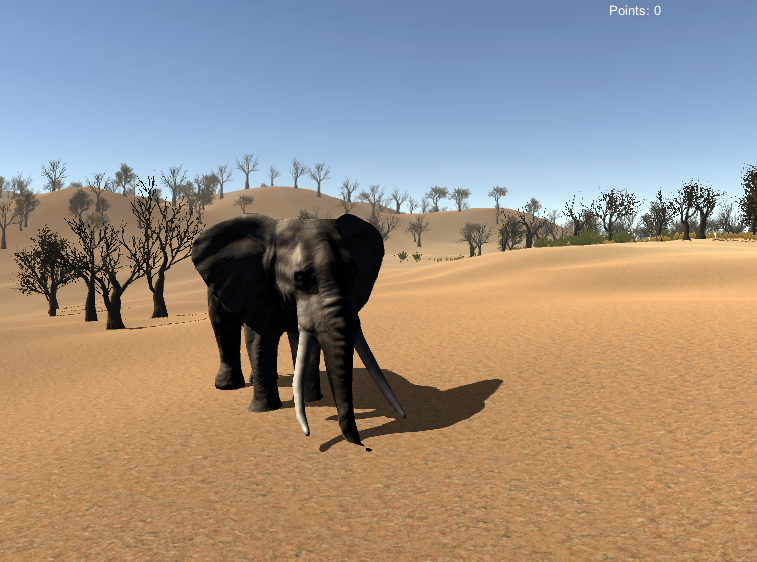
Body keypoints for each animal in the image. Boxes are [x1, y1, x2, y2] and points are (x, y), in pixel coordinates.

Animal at [191, 213, 406, 446]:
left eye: (353, 273)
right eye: (299, 278)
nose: (363, 445)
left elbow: (307, 345)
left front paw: (310, 400)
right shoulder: (256, 288)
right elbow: (260, 339)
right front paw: (264, 410)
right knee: (223, 326)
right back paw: (228, 386)